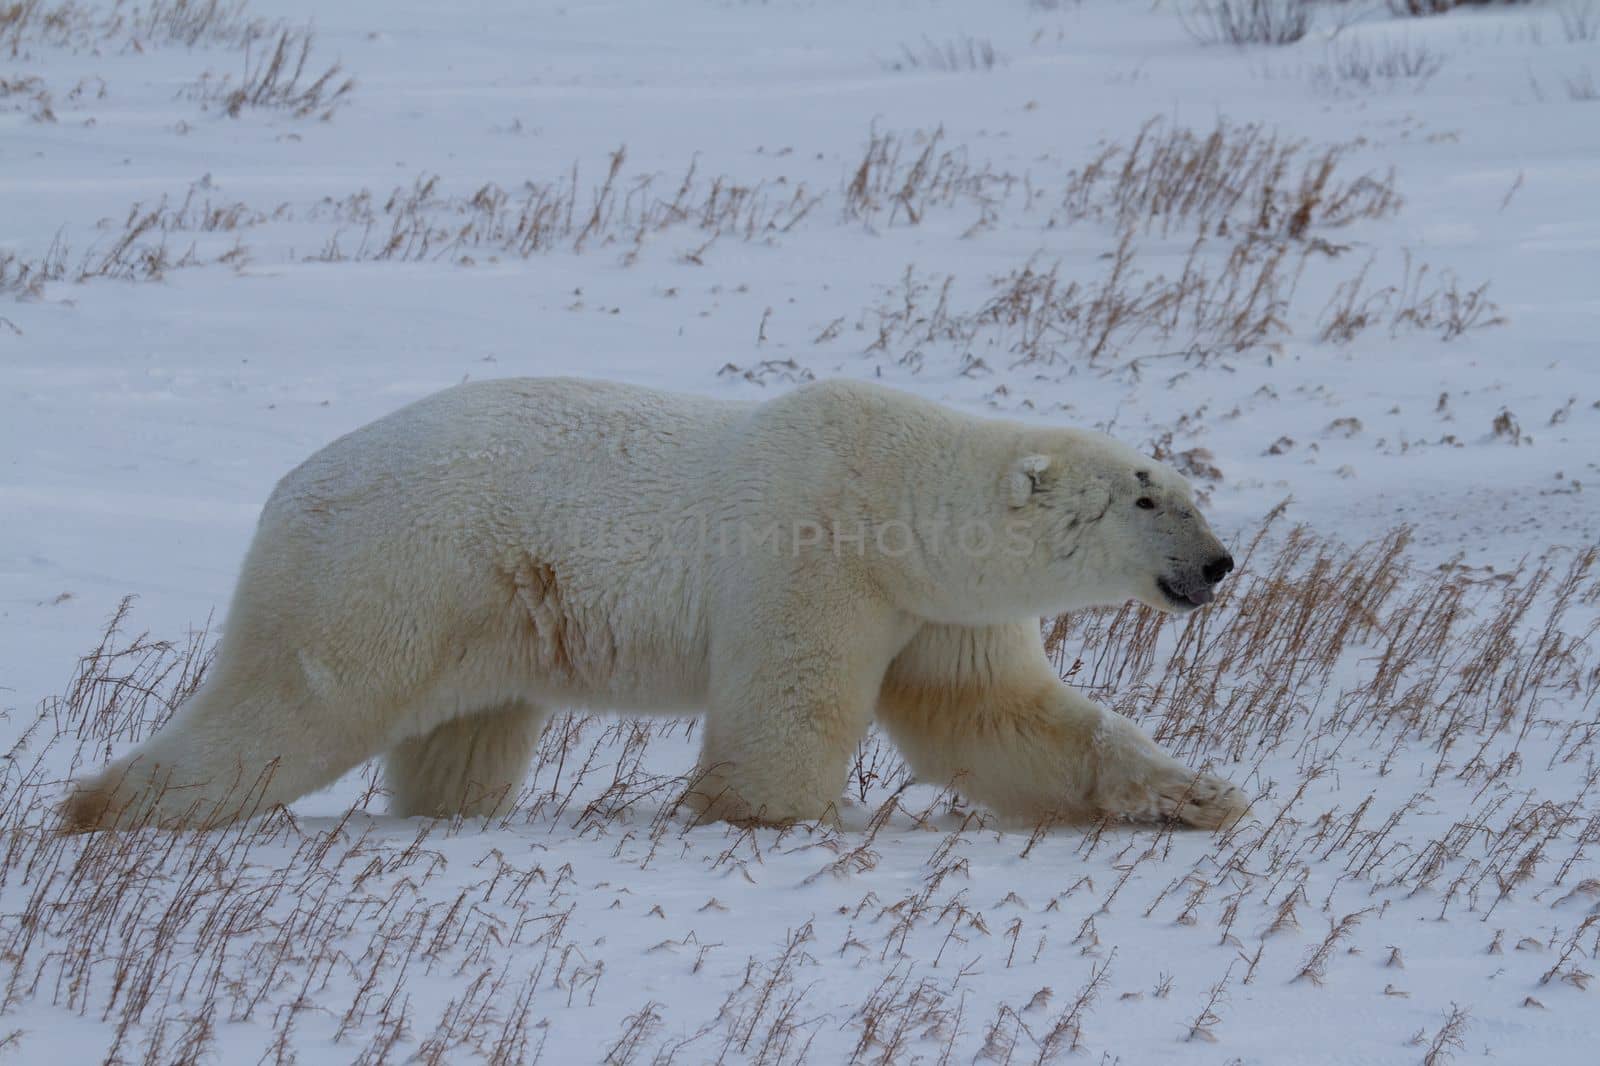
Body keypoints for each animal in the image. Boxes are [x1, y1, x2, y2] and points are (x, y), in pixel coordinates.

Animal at [62, 372, 1241, 832]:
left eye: (1193, 491)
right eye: (1148, 496)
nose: (1221, 563)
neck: (894, 496)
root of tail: (290, 489)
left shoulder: (937, 611)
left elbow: (998, 720)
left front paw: (1197, 795)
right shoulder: (814, 558)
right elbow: (788, 708)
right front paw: (766, 814)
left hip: (479, 611)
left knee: (462, 739)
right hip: (388, 572)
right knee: (293, 706)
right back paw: (105, 807)